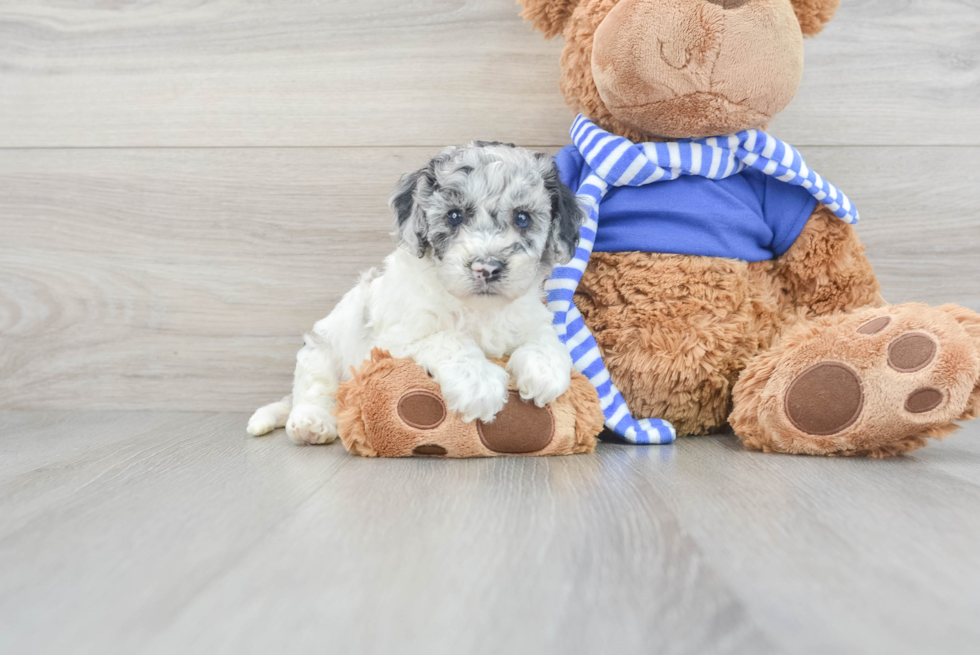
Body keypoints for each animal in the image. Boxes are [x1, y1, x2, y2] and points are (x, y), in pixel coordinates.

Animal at [249, 140, 584, 444]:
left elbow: (547, 340)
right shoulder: (395, 340)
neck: (477, 309)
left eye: (522, 218)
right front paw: (479, 383)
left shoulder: (531, 316)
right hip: (320, 351)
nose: (487, 268)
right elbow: (449, 338)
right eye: (454, 216)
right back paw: (311, 423)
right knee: (315, 391)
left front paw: (544, 370)